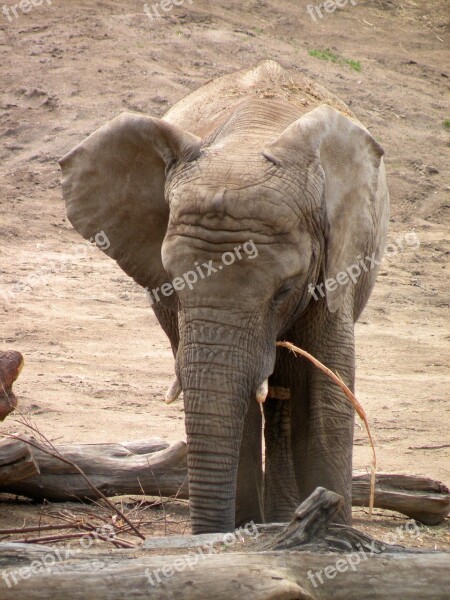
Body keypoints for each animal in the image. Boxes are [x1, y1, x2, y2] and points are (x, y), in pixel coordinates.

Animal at [60, 61, 390, 536]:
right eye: (172, 284)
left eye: (285, 289)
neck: (248, 139)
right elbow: (238, 407)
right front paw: (248, 535)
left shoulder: (336, 264)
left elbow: (323, 397)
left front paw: (332, 534)